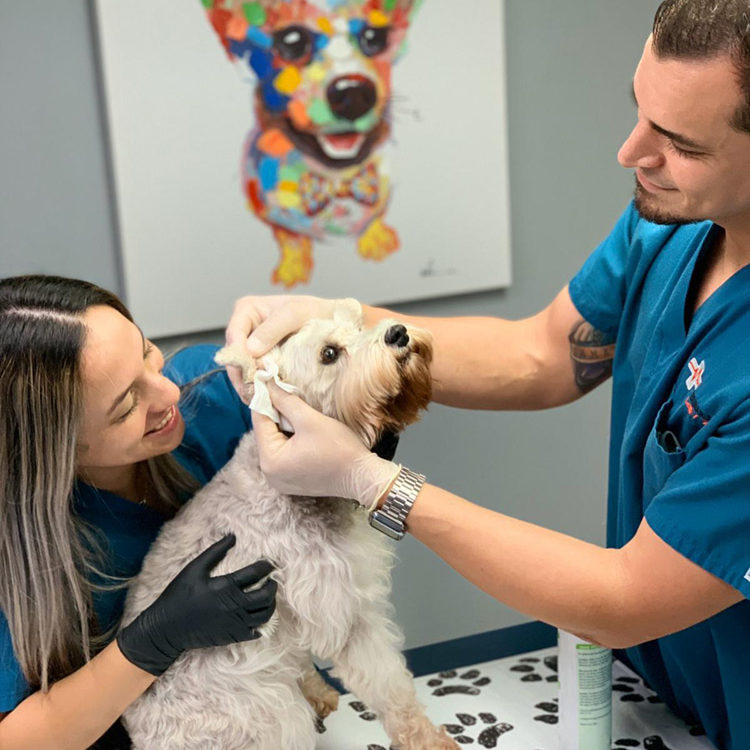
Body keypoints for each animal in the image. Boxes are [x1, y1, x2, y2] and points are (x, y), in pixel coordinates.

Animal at [119, 304, 458, 750]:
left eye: (357, 324)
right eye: (330, 353)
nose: (398, 332)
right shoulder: (343, 611)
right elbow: (388, 685)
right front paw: (427, 740)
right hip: (271, 715)